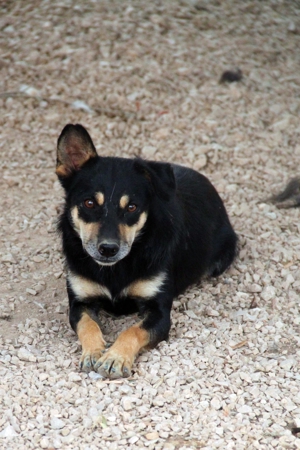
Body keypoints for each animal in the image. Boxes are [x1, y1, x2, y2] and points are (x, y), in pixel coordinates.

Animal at [55, 124, 239, 380]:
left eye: (132, 207)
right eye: (89, 203)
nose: (108, 249)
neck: (116, 269)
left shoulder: (159, 312)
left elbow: (133, 330)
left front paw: (114, 358)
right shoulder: (80, 303)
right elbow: (87, 325)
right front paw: (93, 351)